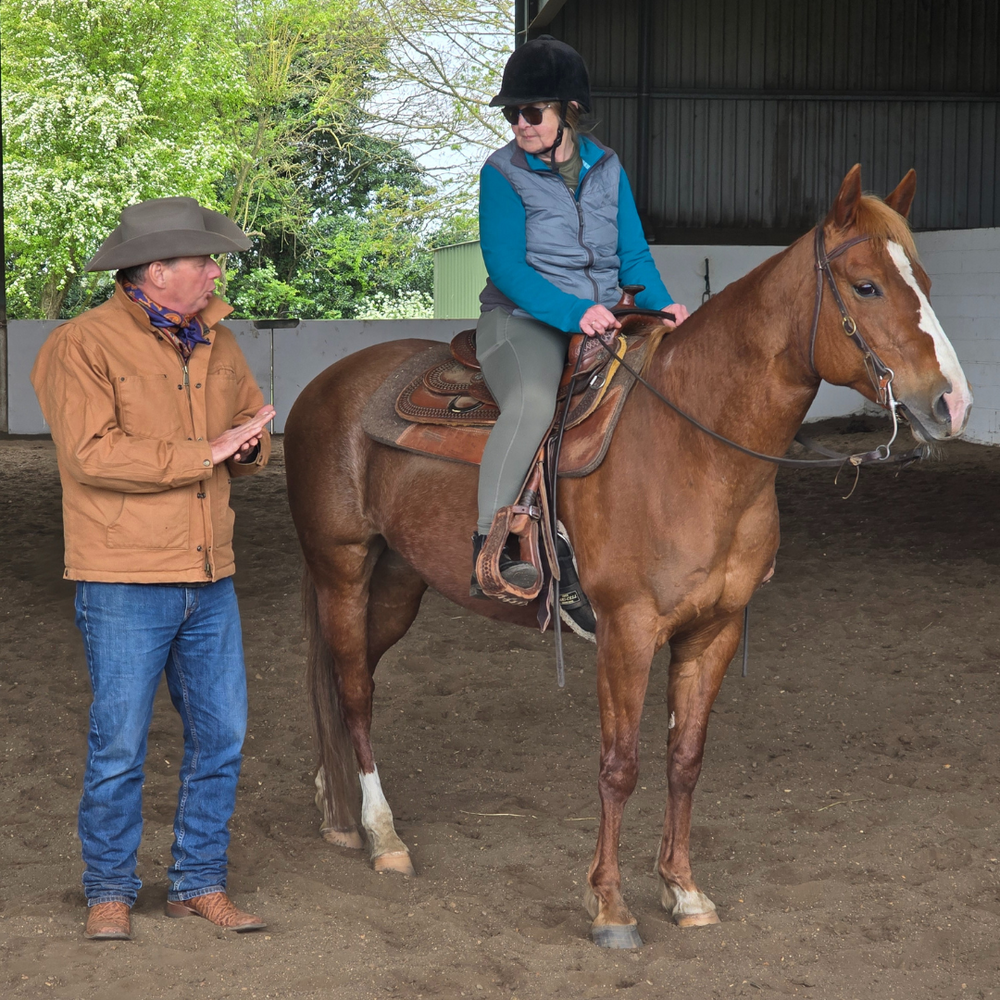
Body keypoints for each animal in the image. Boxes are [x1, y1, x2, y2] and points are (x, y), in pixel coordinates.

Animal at [283, 165, 972, 949]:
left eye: (924, 279)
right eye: (866, 286)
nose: (952, 404)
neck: (694, 446)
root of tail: (325, 386)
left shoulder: (713, 631)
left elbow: (685, 760)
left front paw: (684, 889)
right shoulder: (627, 631)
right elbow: (620, 766)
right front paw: (610, 907)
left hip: (400, 581)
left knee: (351, 677)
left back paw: (335, 806)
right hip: (342, 567)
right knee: (353, 689)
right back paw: (382, 836)